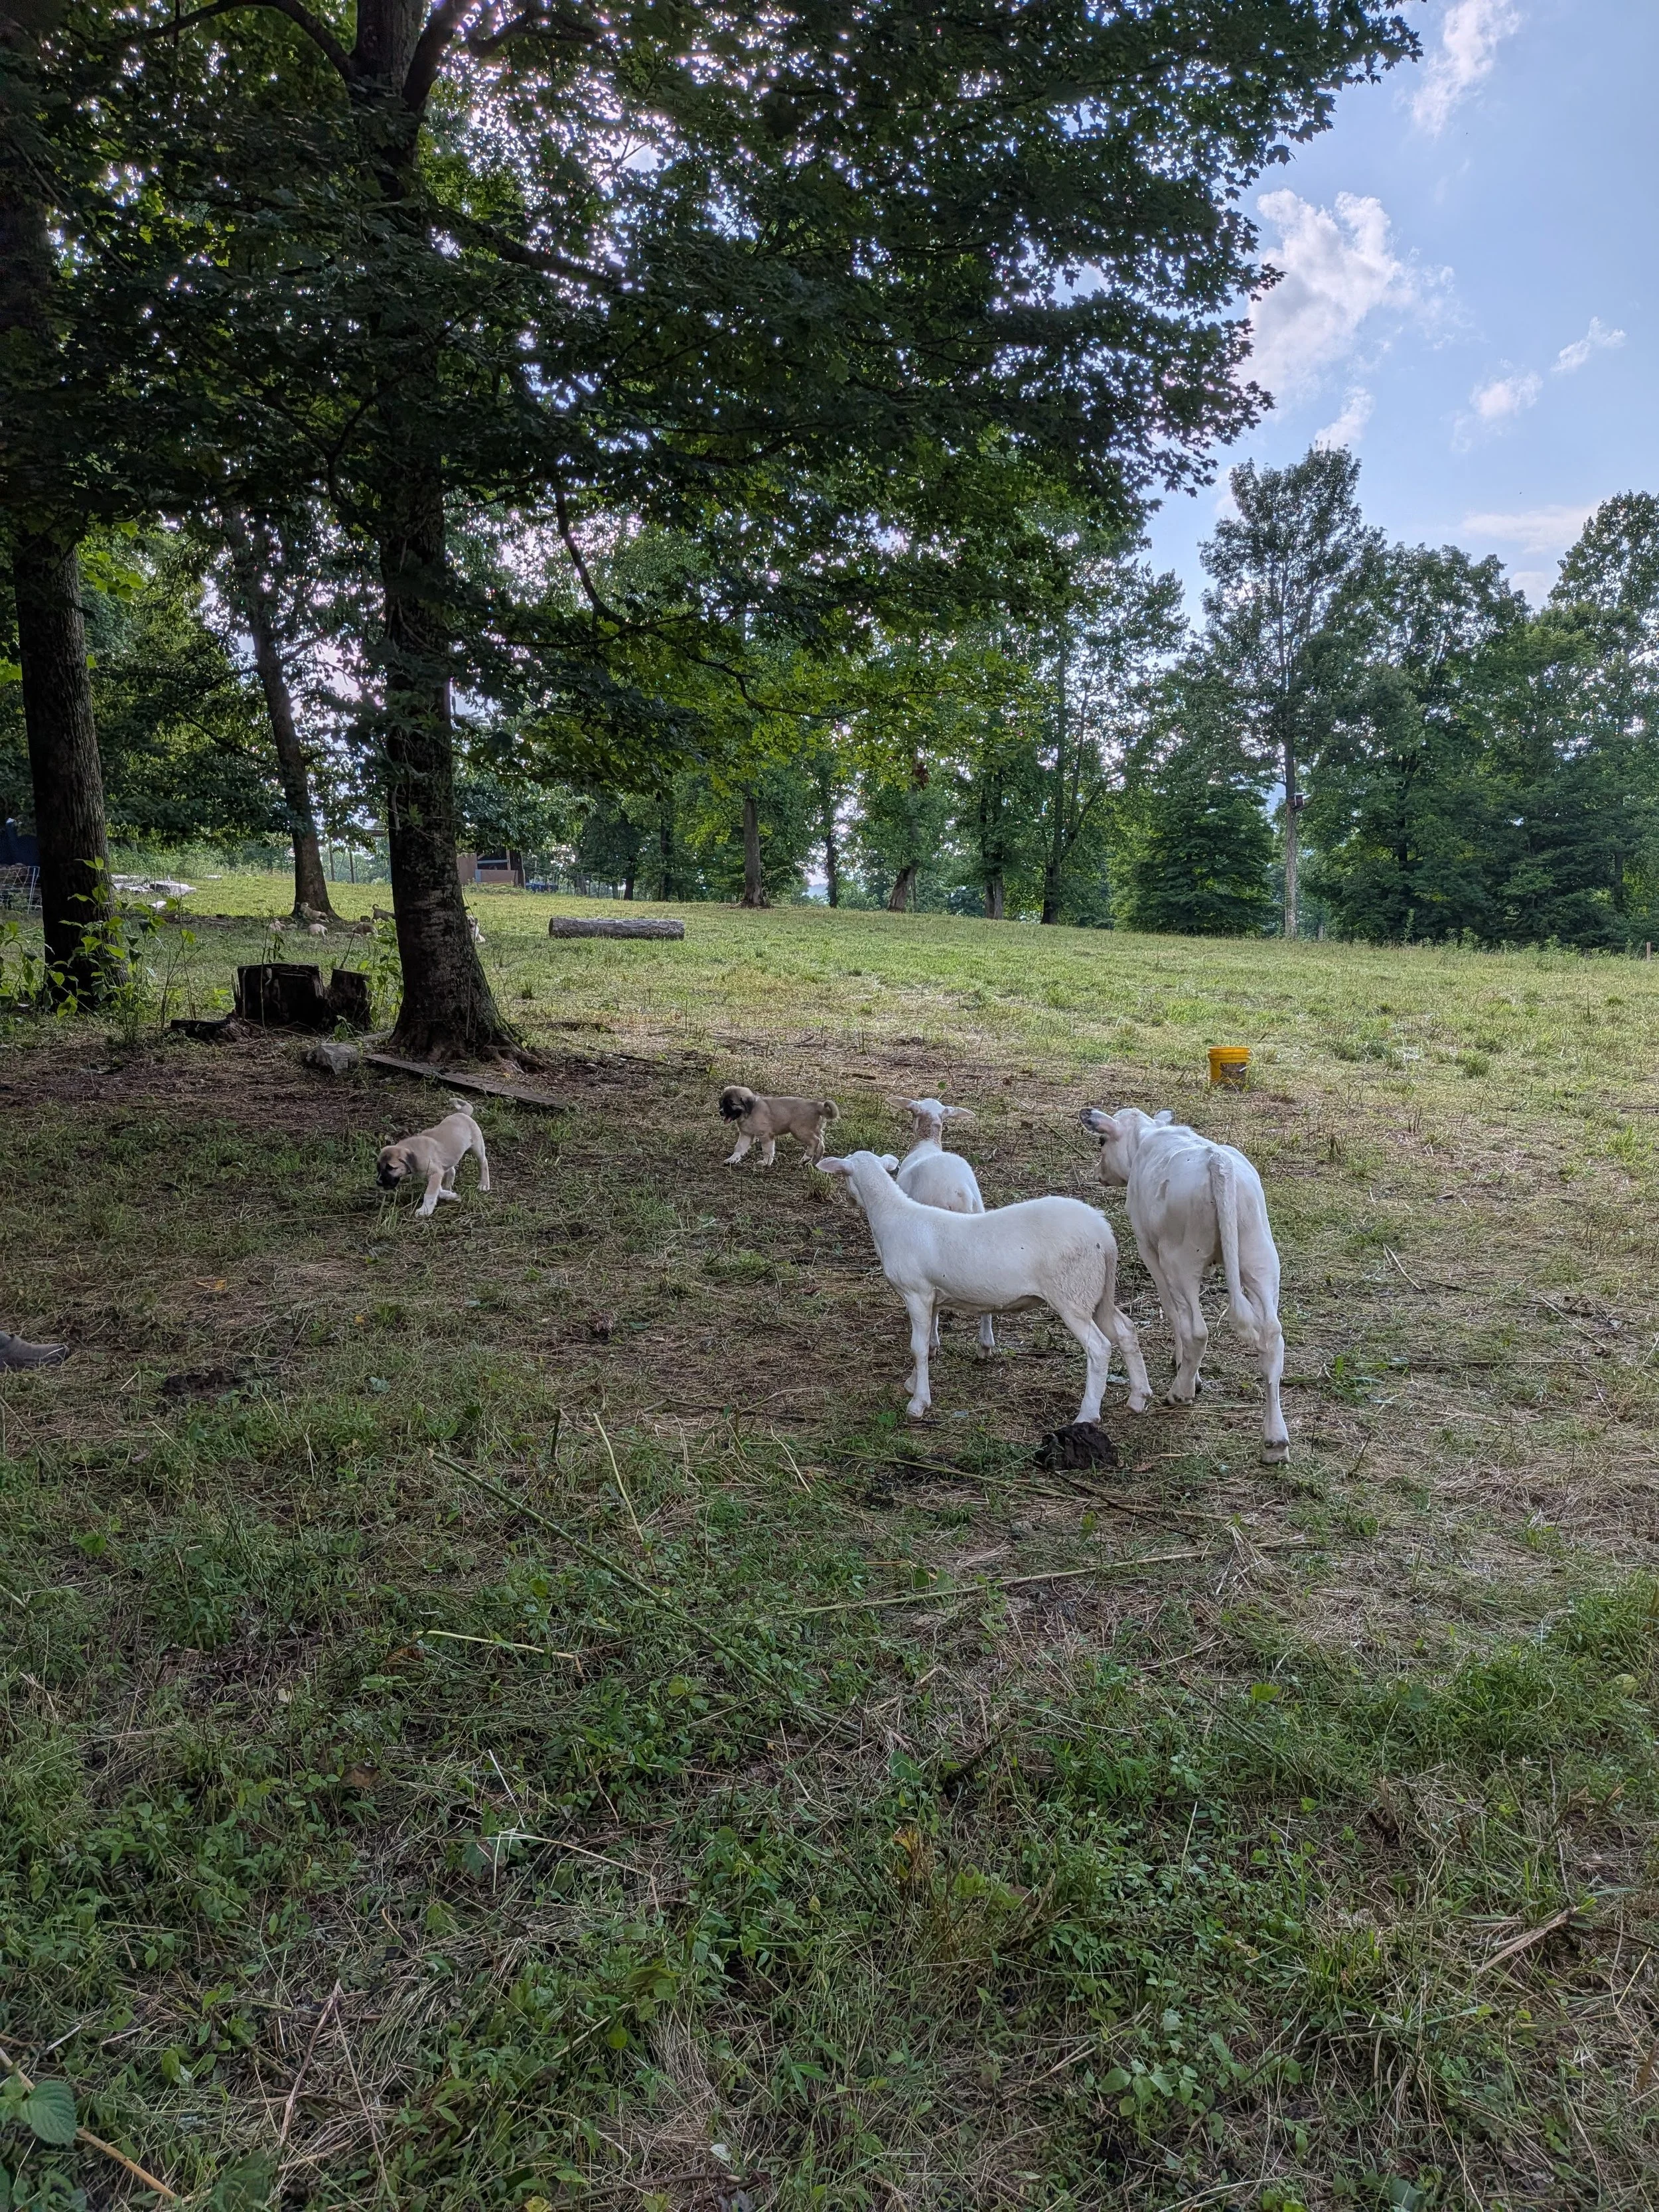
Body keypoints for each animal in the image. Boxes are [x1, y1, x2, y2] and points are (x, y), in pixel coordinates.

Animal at [817, 1149, 1152, 1424]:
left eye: (845, 1176)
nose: (849, 1200)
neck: (892, 1218)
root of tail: (1103, 1232)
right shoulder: (932, 1297)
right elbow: (926, 1343)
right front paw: (913, 1384)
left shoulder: (916, 1293)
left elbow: (917, 1347)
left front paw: (918, 1403)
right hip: (1095, 1291)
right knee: (1125, 1330)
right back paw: (1138, 1398)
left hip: (1071, 1293)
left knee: (1099, 1347)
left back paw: (1088, 1414)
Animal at [1081, 1105, 1288, 1462]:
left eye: (1101, 1142)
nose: (1098, 1173)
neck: (1147, 1136)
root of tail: (1217, 1162)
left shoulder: (1148, 1248)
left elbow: (1173, 1310)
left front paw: (1184, 1367)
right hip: (1260, 1257)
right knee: (1273, 1338)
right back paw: (1276, 1440)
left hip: (1180, 1261)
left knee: (1198, 1330)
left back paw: (1180, 1392)